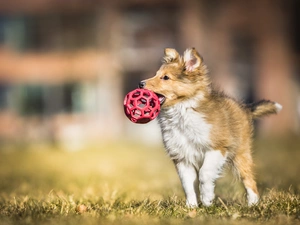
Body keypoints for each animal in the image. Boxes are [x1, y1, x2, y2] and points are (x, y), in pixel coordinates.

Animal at [138, 48, 282, 207]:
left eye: (165, 77)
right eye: (157, 74)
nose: (140, 84)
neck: (183, 110)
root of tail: (245, 108)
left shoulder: (217, 148)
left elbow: (204, 174)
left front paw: (207, 200)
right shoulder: (182, 156)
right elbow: (187, 184)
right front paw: (191, 207)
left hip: (240, 154)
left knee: (249, 180)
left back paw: (253, 204)